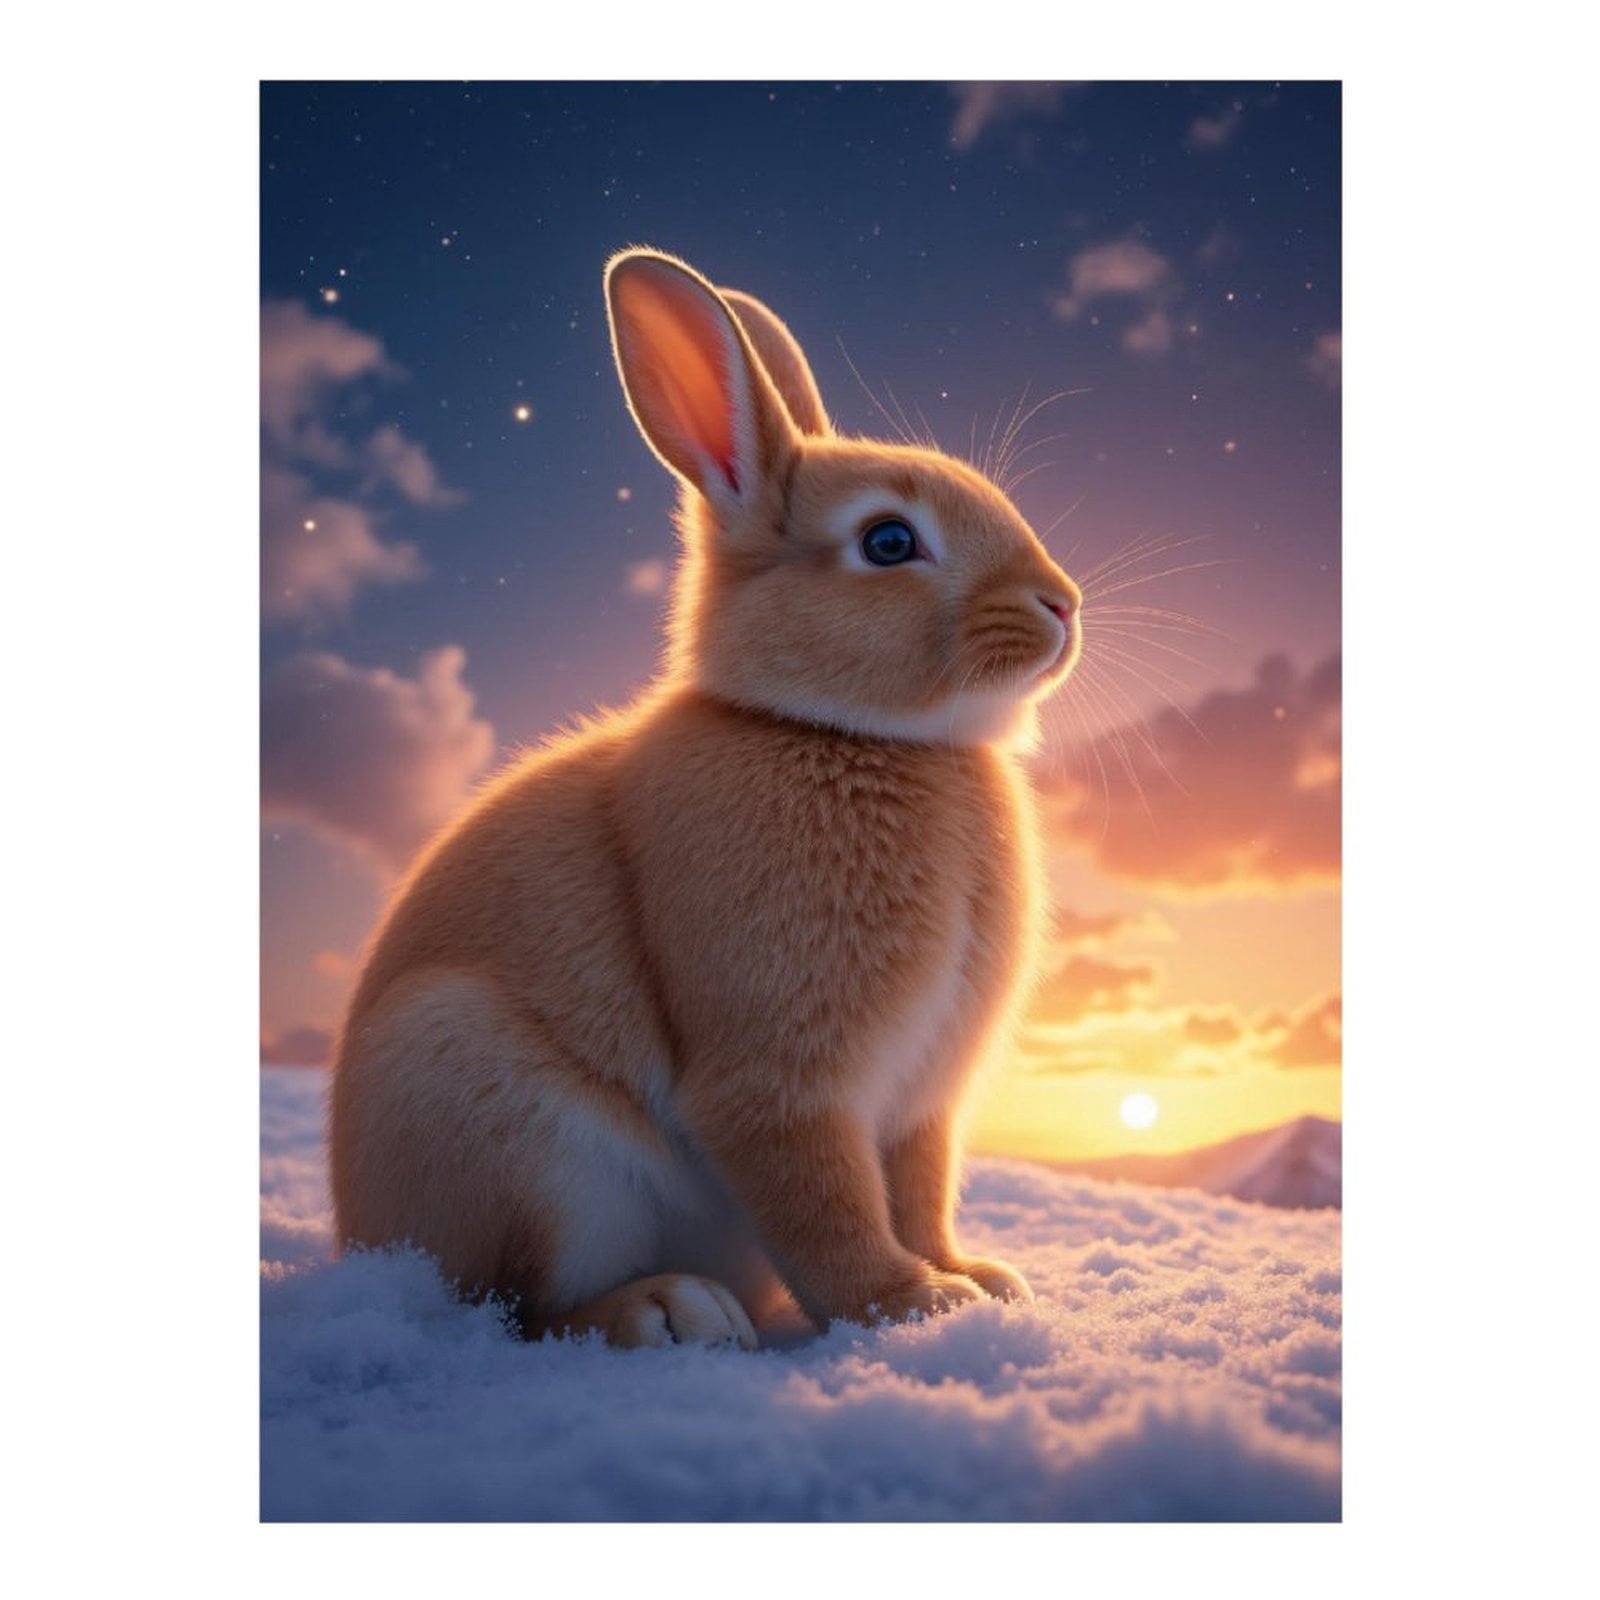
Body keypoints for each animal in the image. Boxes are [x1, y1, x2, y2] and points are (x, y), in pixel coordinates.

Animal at [329, 248, 1082, 1349]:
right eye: (888, 542)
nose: (1062, 604)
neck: (838, 730)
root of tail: (359, 1237)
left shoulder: (919, 1103)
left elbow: (915, 1190)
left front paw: (974, 1277)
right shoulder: (778, 1076)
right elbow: (826, 1204)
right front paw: (916, 1305)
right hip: (504, 1124)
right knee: (517, 1307)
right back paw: (670, 1311)